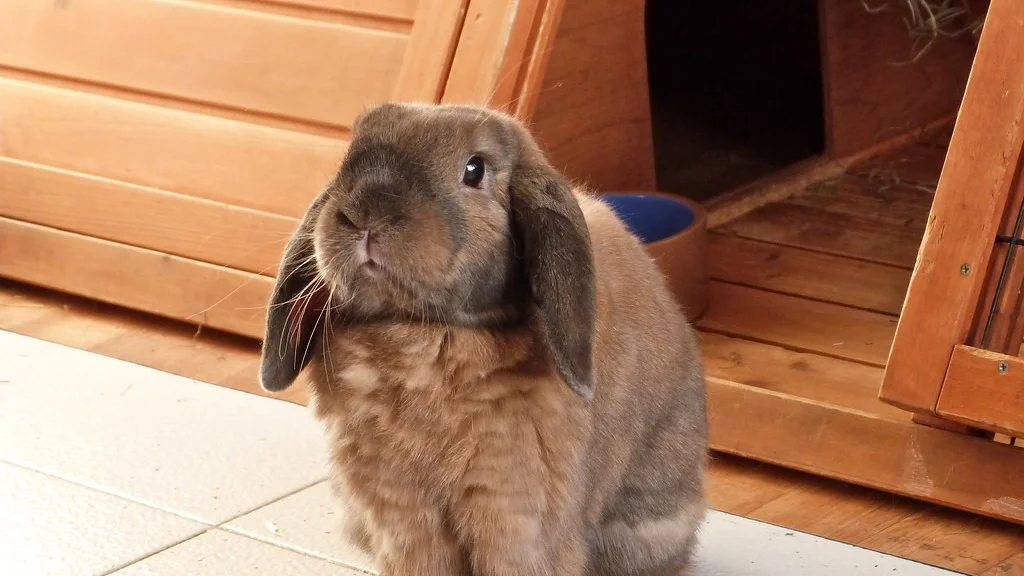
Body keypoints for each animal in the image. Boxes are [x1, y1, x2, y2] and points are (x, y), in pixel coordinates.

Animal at [258, 102, 708, 576]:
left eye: (475, 170)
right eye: (350, 152)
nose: (364, 215)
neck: (423, 332)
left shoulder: (513, 509)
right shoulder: (401, 509)